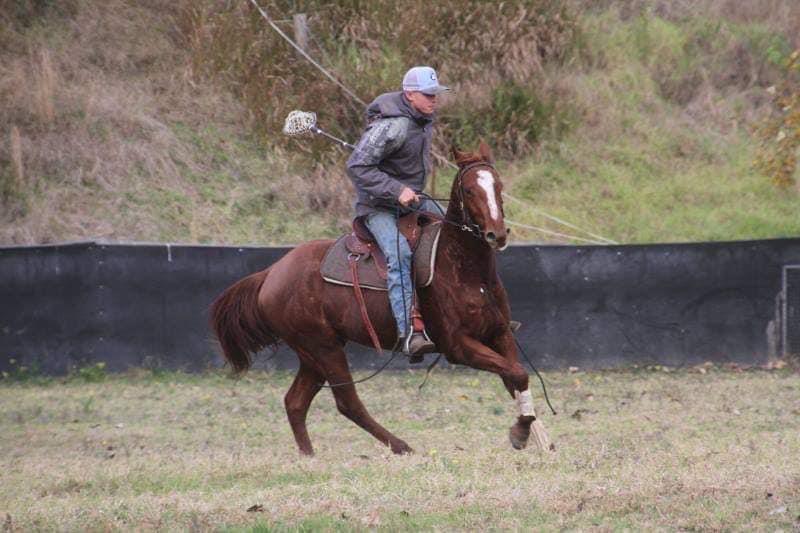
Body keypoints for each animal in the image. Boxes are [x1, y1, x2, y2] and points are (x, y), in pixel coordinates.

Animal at [209, 142, 551, 455]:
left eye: (499, 185)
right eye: (468, 189)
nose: (497, 234)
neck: (464, 270)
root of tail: (270, 274)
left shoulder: (499, 332)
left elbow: (515, 377)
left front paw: (537, 435)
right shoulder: (458, 346)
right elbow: (516, 373)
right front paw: (522, 432)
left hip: (313, 353)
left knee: (295, 402)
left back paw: (309, 456)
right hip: (323, 348)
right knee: (347, 403)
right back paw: (400, 446)